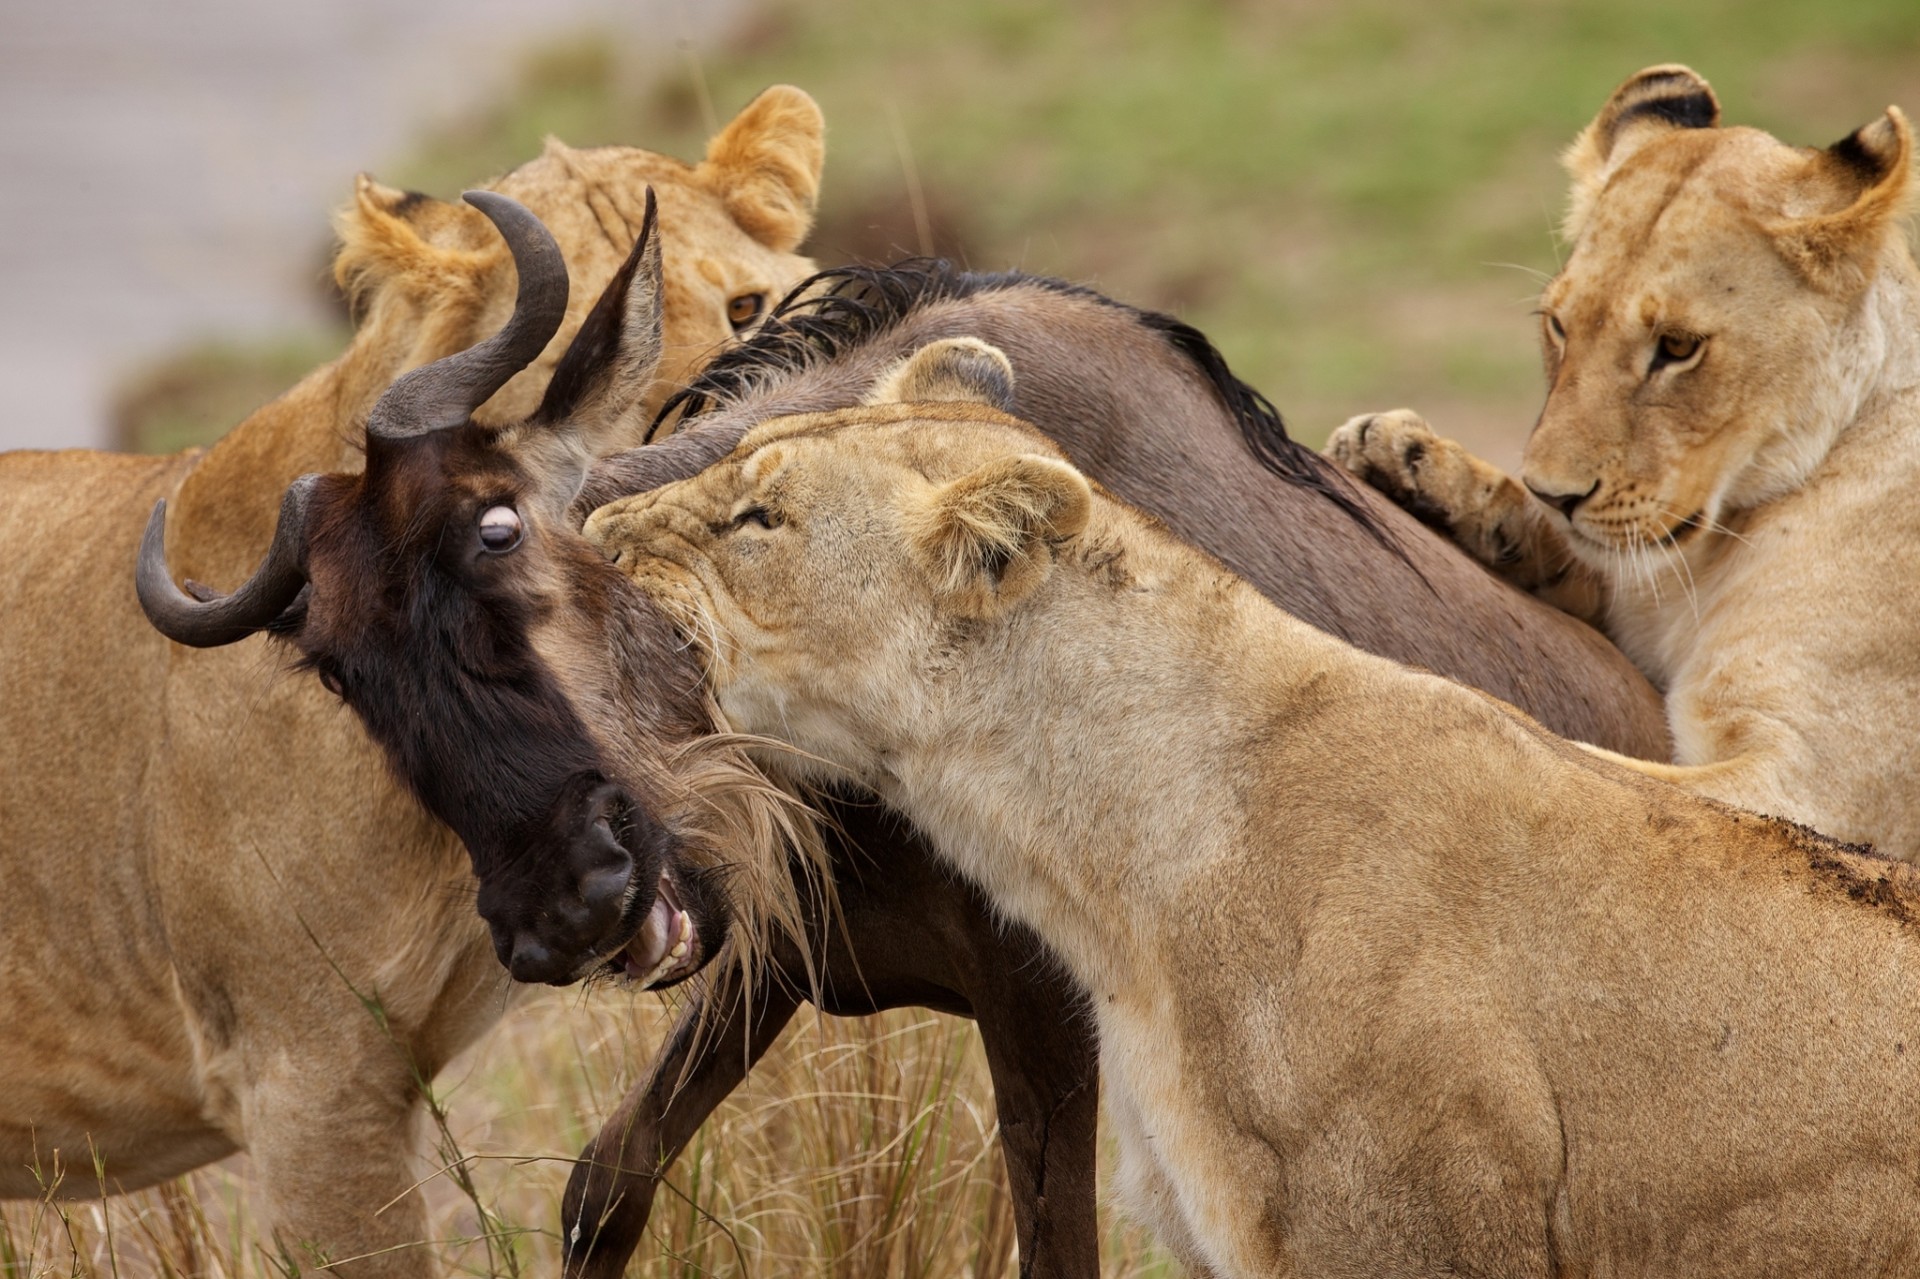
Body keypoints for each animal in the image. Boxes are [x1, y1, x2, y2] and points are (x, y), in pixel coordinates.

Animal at [1325, 64, 1920, 860]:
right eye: (1558, 324)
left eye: (1677, 347)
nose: (1556, 492)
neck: (1705, 561)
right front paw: (1405, 457)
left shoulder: (1816, 790)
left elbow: (1585, 773)